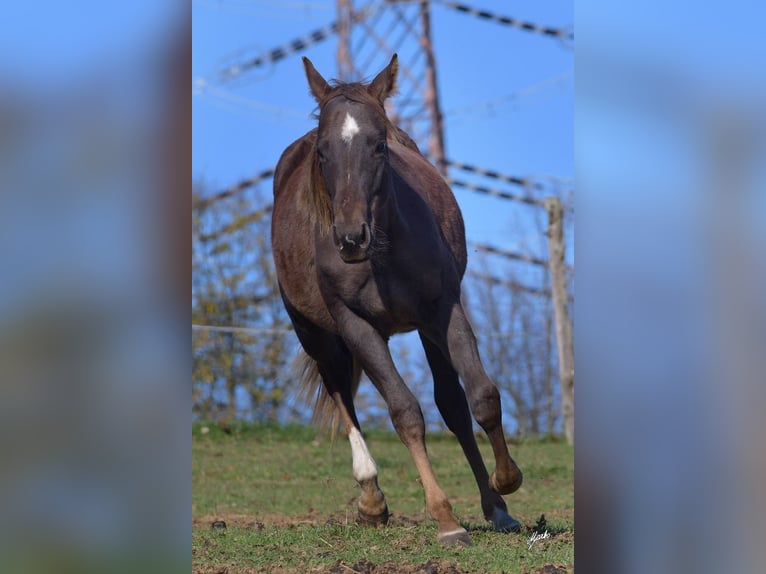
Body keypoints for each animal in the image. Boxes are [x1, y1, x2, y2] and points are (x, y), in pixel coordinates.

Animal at [272, 55, 528, 548]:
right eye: (322, 151)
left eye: (378, 146)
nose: (350, 238)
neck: (383, 253)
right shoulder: (356, 327)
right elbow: (405, 412)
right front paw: (446, 519)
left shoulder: (443, 310)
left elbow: (481, 396)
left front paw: (505, 485)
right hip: (314, 333)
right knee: (341, 393)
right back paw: (371, 499)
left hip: (424, 330)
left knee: (452, 404)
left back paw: (495, 507)